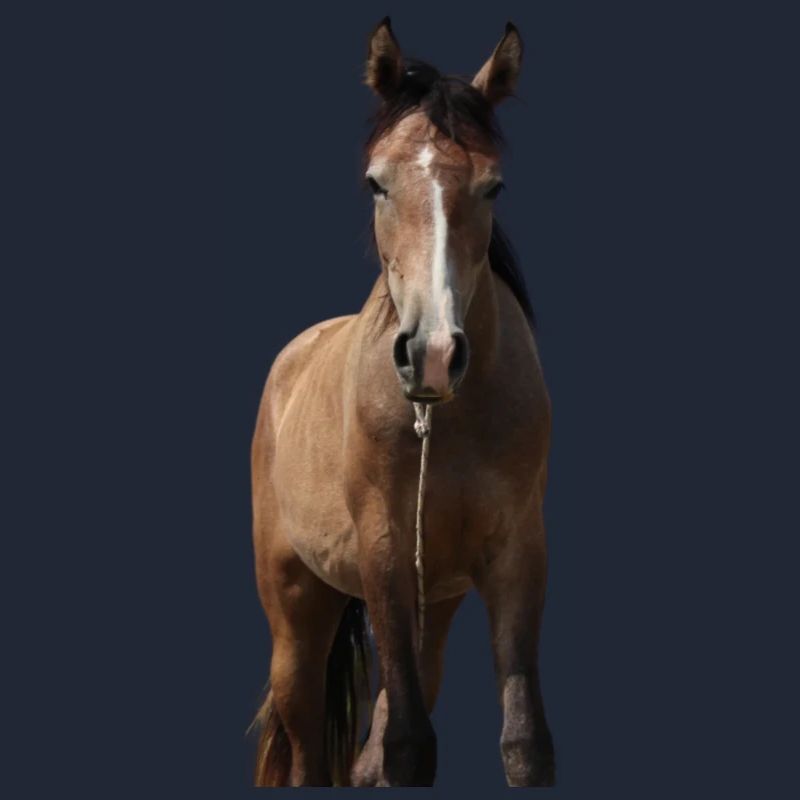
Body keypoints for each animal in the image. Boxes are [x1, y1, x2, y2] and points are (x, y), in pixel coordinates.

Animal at [250, 18, 555, 787]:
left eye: (493, 185)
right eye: (376, 182)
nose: (434, 352)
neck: (448, 421)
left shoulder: (517, 554)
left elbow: (523, 741)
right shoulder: (382, 554)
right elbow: (411, 746)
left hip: (434, 605)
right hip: (297, 613)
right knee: (308, 753)